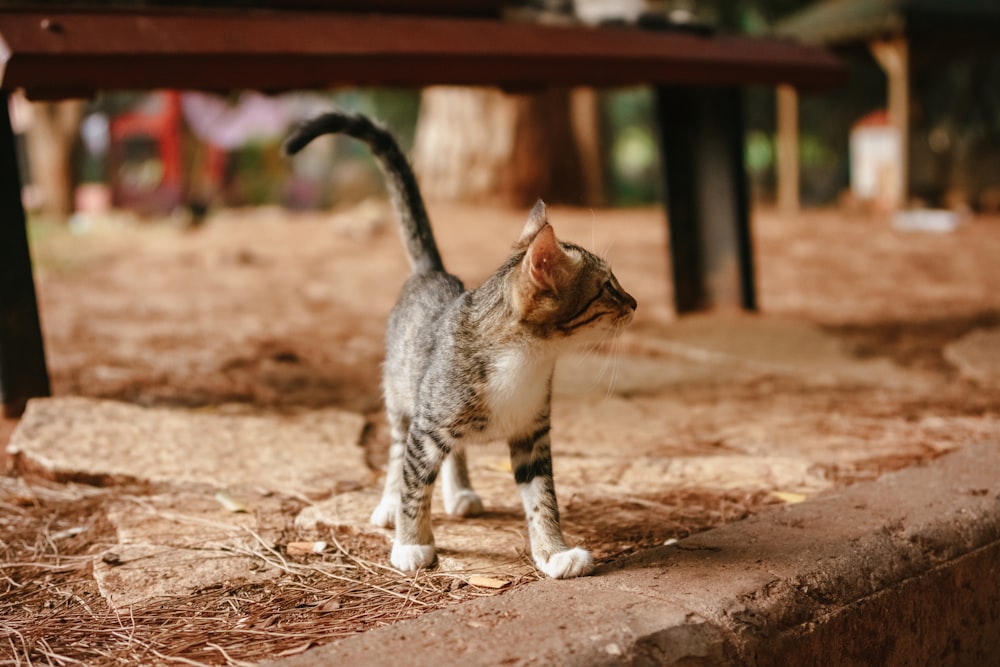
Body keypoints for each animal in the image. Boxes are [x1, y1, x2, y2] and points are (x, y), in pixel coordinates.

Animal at [286, 111, 636, 580]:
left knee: (454, 451)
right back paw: (388, 505)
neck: (530, 358)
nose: (634, 303)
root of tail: (432, 272)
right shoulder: (427, 424)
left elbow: (542, 498)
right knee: (397, 450)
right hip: (403, 397)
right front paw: (411, 543)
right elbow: (415, 484)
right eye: (607, 288)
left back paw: (460, 492)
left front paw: (553, 552)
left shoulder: (533, 434)